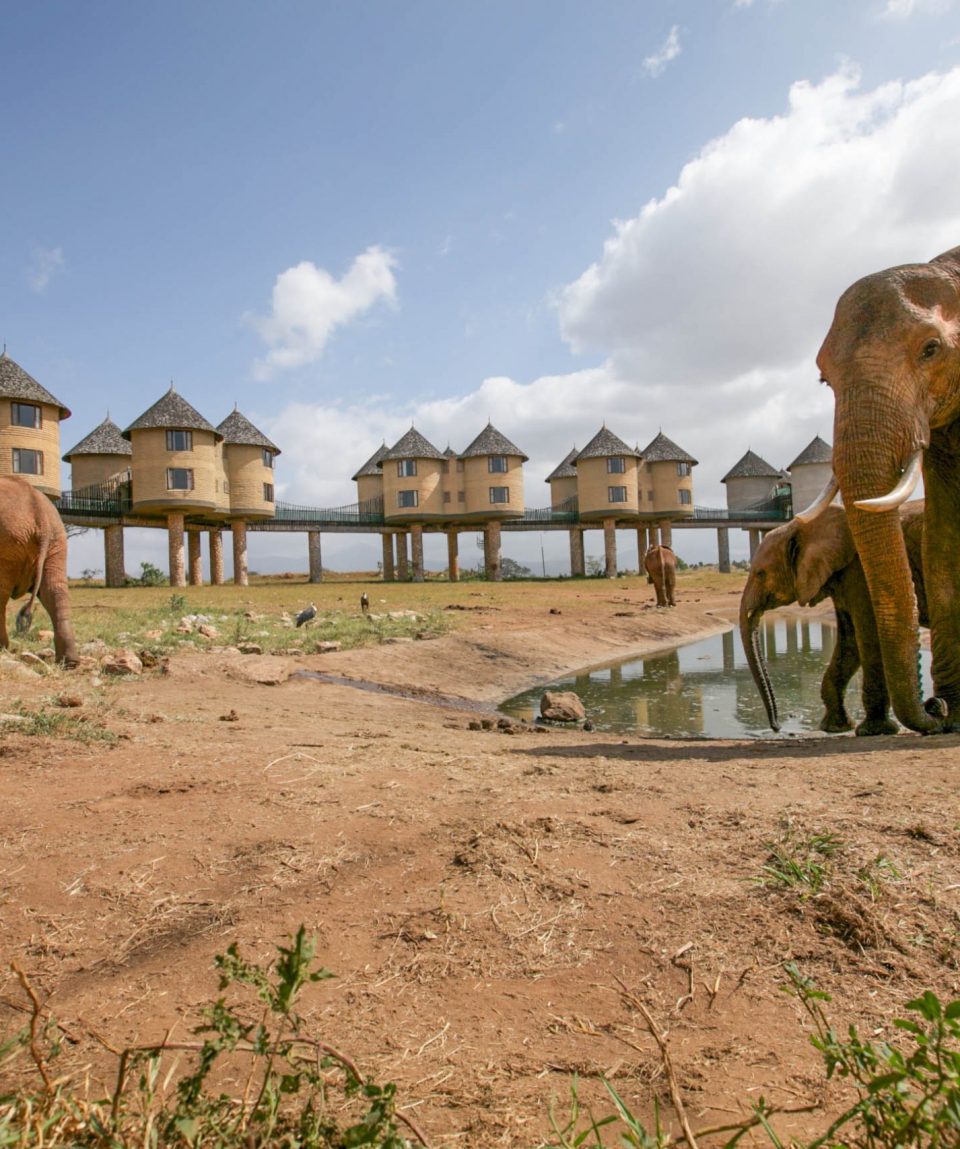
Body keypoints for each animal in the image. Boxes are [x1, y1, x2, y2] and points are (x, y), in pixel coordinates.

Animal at [739, 498, 927, 730]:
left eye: (760, 574)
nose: (777, 726)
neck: (799, 526)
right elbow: (849, 640)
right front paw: (836, 727)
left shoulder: (858, 571)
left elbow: (868, 633)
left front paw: (874, 730)